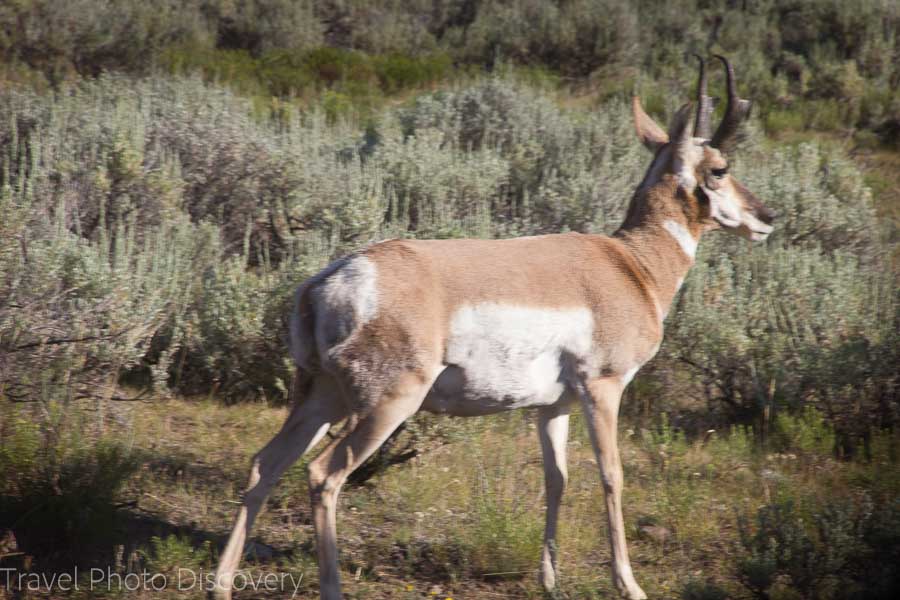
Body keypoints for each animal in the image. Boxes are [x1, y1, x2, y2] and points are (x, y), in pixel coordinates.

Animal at [213, 54, 772, 596]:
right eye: (720, 168)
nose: (766, 217)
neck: (630, 264)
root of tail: (329, 279)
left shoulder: (552, 407)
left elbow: (557, 479)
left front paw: (550, 579)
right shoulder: (603, 389)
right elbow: (611, 475)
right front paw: (629, 585)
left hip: (321, 397)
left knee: (265, 464)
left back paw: (222, 584)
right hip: (387, 405)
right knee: (323, 475)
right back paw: (330, 586)